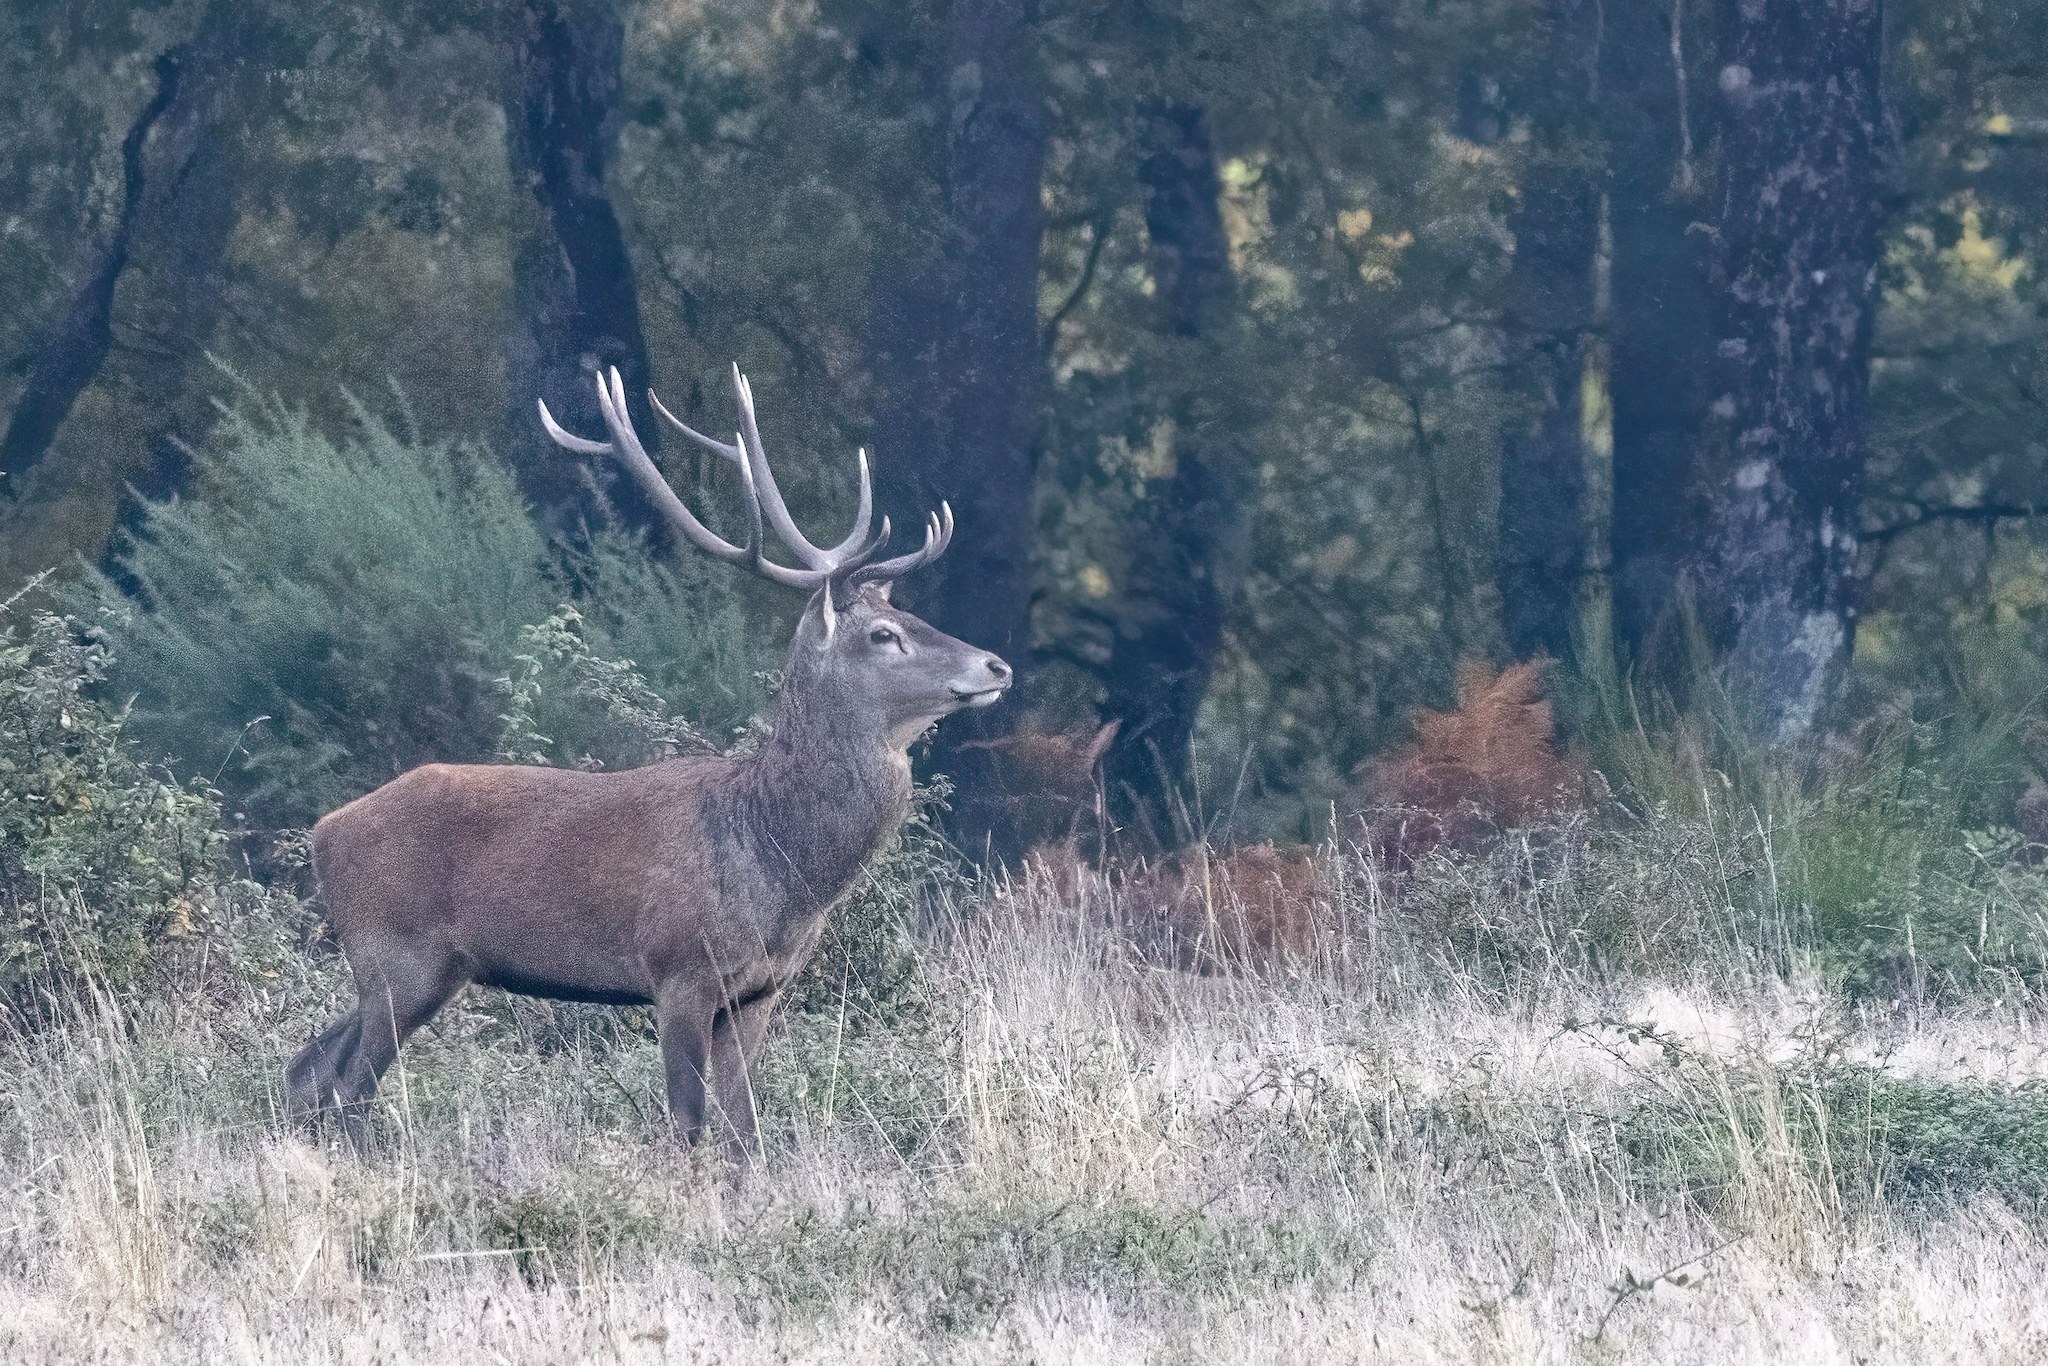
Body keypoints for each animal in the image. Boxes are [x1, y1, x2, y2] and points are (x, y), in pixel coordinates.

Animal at [284, 364, 1011, 1151]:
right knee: (348, 1088)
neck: (779, 864)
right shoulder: (678, 970)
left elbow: (744, 1133)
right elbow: (687, 1125)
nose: (997, 665)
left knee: (308, 1066)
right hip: (395, 955)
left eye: (907, 615)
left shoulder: (760, 990)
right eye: (883, 634)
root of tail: (322, 833)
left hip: (419, 971)